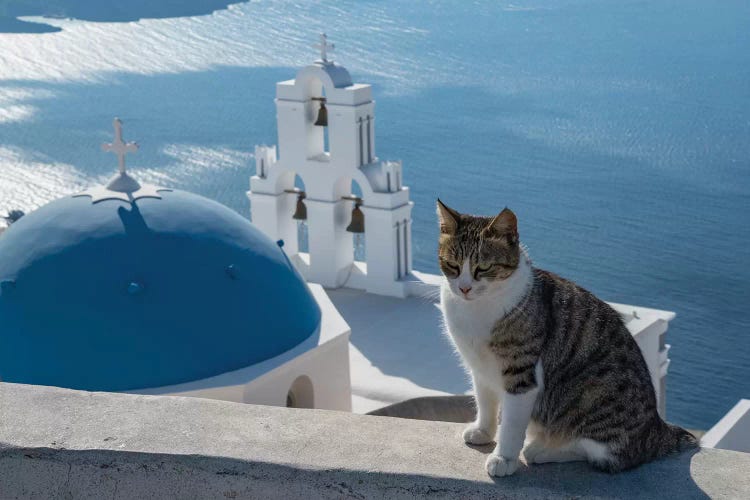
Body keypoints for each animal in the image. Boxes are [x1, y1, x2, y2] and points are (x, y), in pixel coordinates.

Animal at [434, 199, 700, 476]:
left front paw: (504, 458)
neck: (476, 310)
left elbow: (511, 423)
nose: (464, 288)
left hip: (594, 402)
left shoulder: (522, 375)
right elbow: (485, 400)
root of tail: (656, 429)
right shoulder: (479, 367)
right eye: (452, 265)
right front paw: (483, 431)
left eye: (483, 268)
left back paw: (543, 450)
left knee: (603, 455)